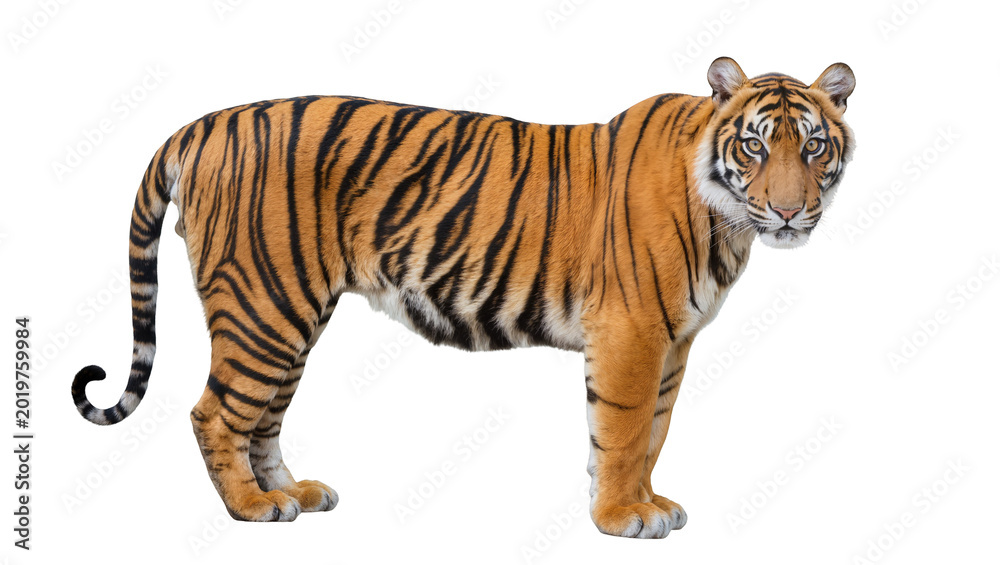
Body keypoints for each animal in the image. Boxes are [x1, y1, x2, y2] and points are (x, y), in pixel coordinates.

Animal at [71, 57, 854, 538]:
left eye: (814, 147)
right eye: (755, 146)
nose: (789, 212)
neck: (727, 222)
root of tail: (200, 124)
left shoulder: (674, 342)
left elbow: (653, 431)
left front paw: (643, 500)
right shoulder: (632, 333)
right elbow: (626, 428)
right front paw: (622, 516)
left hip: (290, 315)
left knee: (259, 417)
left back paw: (294, 494)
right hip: (265, 307)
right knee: (214, 413)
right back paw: (252, 508)